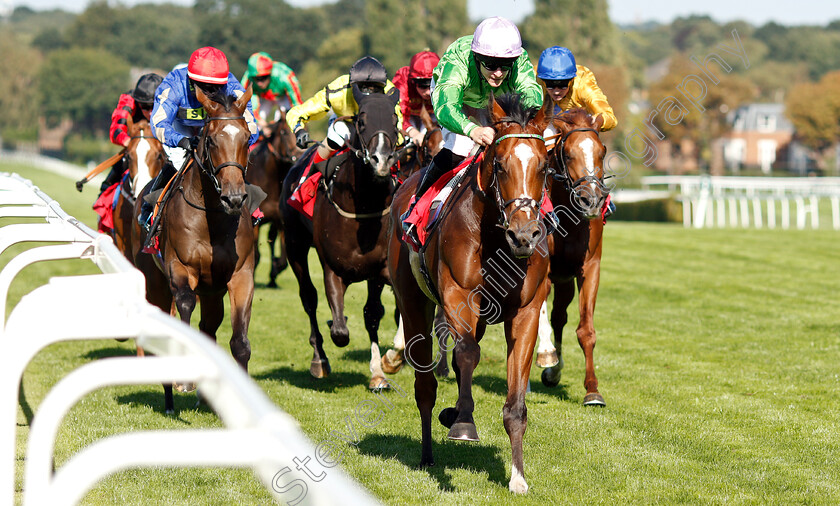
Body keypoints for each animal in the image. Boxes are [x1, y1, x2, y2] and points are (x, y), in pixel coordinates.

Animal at [133, 85, 258, 414]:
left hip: (212, 291)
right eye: (211, 139)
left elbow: (239, 341)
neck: (212, 218)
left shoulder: (241, 276)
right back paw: (169, 398)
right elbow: (185, 306)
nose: (234, 197)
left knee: (209, 326)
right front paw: (185, 379)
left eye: (246, 137)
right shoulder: (180, 268)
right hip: (155, 283)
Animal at [246, 115, 302, 288]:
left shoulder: (281, 221)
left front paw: (275, 269)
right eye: (284, 132)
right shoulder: (254, 223)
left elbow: (284, 259)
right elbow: (256, 255)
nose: (298, 156)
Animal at [278, 88, 404, 388]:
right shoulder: (332, 270)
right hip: (295, 245)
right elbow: (340, 331)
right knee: (309, 298)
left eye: (395, 120)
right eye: (361, 121)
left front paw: (384, 366)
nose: (381, 160)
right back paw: (319, 360)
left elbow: (376, 315)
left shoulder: (380, 270)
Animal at [386, 93, 552, 492]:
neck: (495, 238)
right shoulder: (458, 294)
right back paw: (429, 451)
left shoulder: (526, 310)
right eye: (501, 165)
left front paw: (518, 476)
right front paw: (462, 423)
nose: (524, 236)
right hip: (413, 301)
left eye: (543, 166)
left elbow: (516, 402)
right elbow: (466, 354)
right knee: (425, 385)